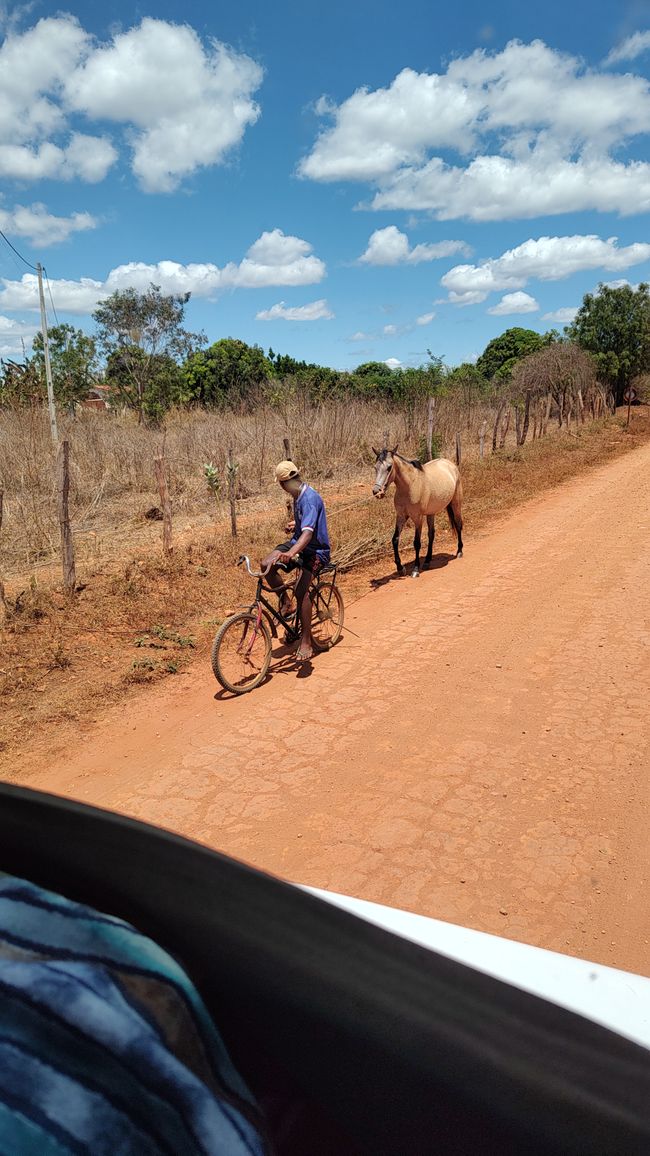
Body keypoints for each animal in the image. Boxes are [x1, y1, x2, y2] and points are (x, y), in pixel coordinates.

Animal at [370, 448, 460, 578]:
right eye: (375, 467)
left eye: (389, 467)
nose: (377, 492)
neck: (410, 486)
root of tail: (449, 464)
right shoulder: (401, 516)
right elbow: (395, 539)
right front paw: (400, 568)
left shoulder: (418, 518)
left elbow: (416, 542)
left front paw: (415, 569)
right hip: (431, 513)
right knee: (431, 534)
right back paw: (427, 561)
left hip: (456, 503)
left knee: (458, 525)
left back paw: (459, 551)